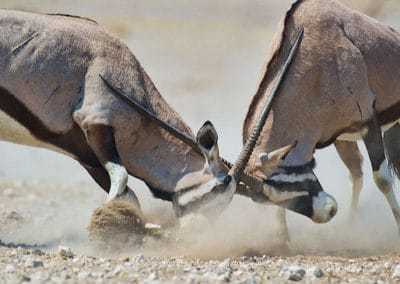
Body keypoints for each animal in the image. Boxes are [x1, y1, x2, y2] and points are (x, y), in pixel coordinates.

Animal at [0, 8, 336, 227]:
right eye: (218, 189)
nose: (198, 233)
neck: (131, 82)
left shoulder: (89, 157)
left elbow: (127, 194)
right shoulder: (96, 123)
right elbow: (122, 180)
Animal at [242, 0, 400, 242]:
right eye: (269, 197)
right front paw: (283, 239)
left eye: (289, 180)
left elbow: (381, 178)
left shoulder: (368, 123)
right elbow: (358, 173)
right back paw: (351, 226)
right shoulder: (339, 132)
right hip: (344, 139)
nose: (328, 212)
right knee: (356, 172)